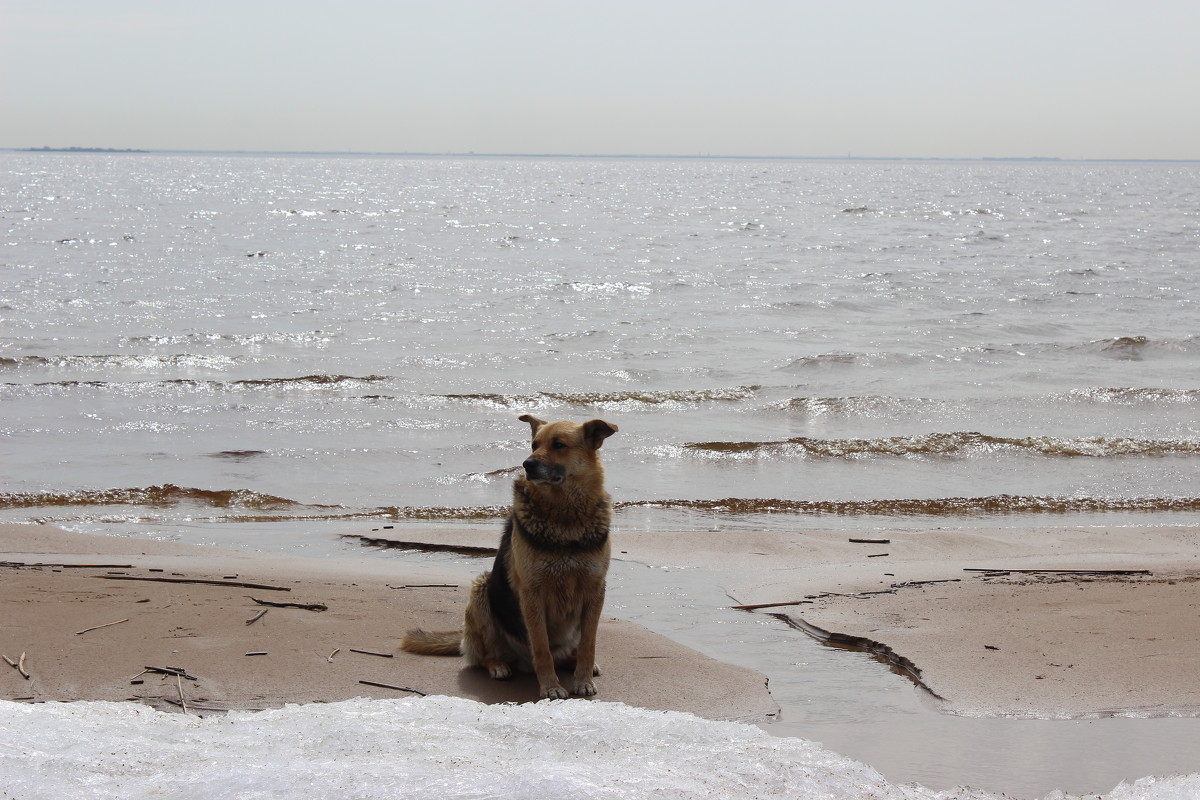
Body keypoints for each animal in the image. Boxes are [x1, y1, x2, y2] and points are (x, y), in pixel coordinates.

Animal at [400, 417, 619, 695]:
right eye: (534, 444)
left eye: (558, 445)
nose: (527, 464)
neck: (565, 517)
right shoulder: (532, 592)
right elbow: (541, 647)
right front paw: (550, 686)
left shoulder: (594, 589)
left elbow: (588, 644)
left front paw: (583, 680)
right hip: (481, 591)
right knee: (486, 656)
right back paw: (499, 666)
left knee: (566, 652)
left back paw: (573, 662)